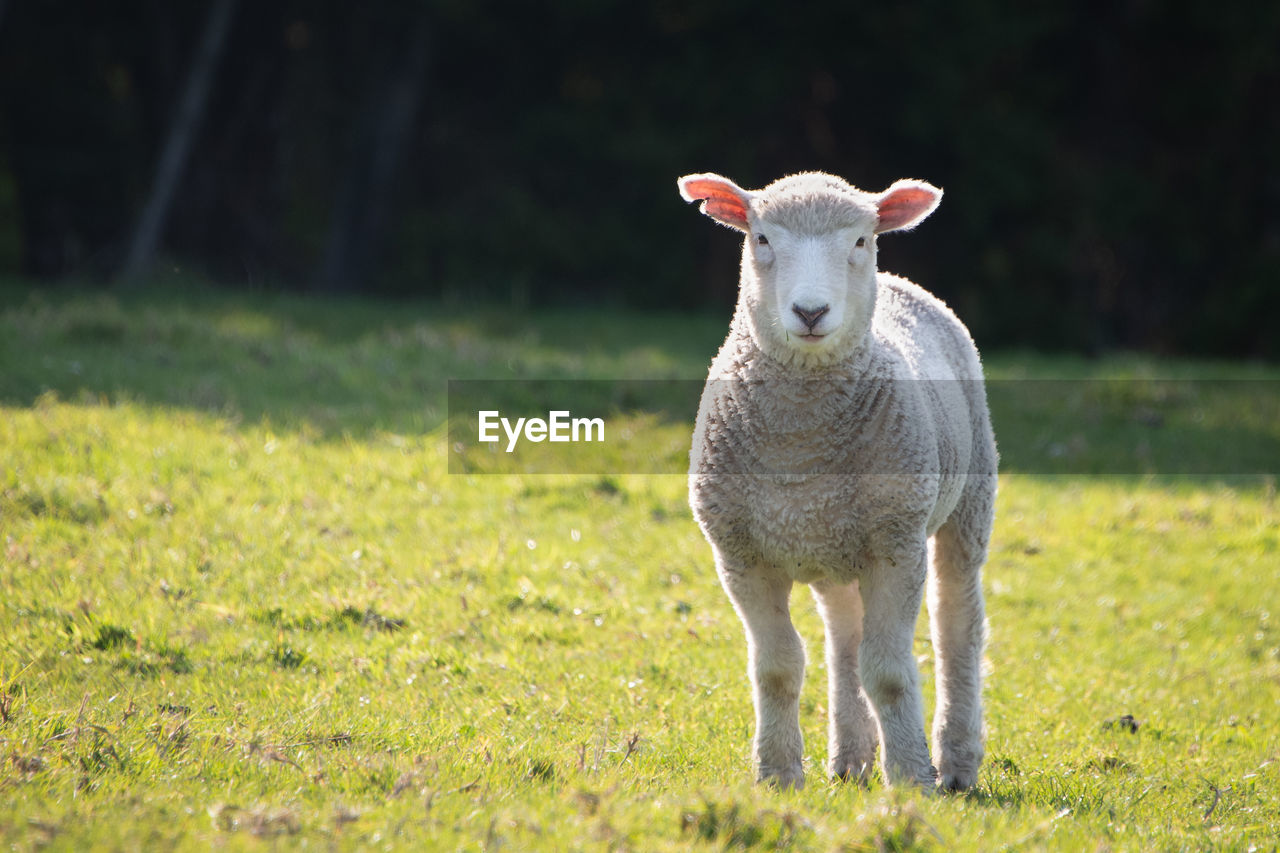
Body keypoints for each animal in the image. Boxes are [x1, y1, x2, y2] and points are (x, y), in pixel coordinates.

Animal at [675, 169, 993, 788]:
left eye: (861, 241)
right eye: (762, 239)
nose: (811, 312)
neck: (801, 447)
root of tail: (900, 283)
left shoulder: (897, 544)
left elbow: (889, 671)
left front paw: (911, 778)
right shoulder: (739, 554)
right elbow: (777, 667)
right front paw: (777, 774)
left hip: (967, 502)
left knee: (956, 626)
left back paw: (956, 763)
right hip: (836, 547)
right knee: (844, 639)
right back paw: (850, 758)